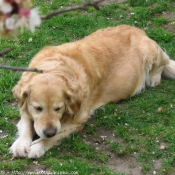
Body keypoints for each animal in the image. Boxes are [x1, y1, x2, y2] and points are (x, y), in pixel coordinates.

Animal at [9, 25, 175, 159]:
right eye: (38, 108)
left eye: (58, 108)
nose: (49, 131)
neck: (53, 68)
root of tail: (140, 31)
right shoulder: (24, 107)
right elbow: (26, 126)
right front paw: (20, 144)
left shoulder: (78, 120)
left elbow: (56, 135)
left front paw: (37, 146)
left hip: (151, 53)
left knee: (163, 65)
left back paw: (153, 79)